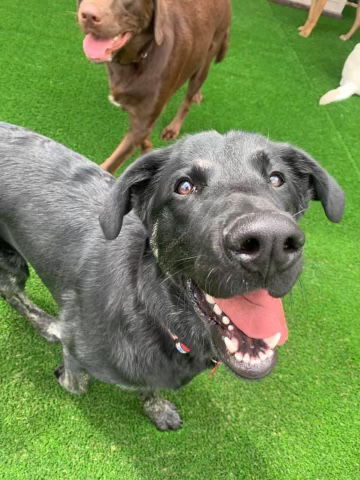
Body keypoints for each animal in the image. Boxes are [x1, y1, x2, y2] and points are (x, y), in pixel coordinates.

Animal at [0, 123, 344, 428]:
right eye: (184, 187)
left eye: (277, 179)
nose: (269, 242)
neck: (147, 306)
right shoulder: (76, 345)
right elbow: (77, 382)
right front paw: (67, 376)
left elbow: (151, 386)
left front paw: (158, 409)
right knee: (11, 292)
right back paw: (49, 325)